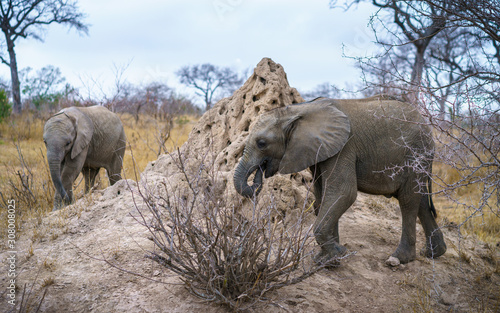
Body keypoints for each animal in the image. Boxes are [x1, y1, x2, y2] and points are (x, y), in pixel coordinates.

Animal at [232, 95, 448, 264]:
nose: (260, 171)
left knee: (408, 200)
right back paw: (432, 253)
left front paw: (335, 255)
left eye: (262, 143)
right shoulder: (319, 150)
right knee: (421, 201)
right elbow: (323, 195)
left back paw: (399, 259)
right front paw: (328, 257)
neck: (297, 110)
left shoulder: (344, 146)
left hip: (416, 154)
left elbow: (343, 192)